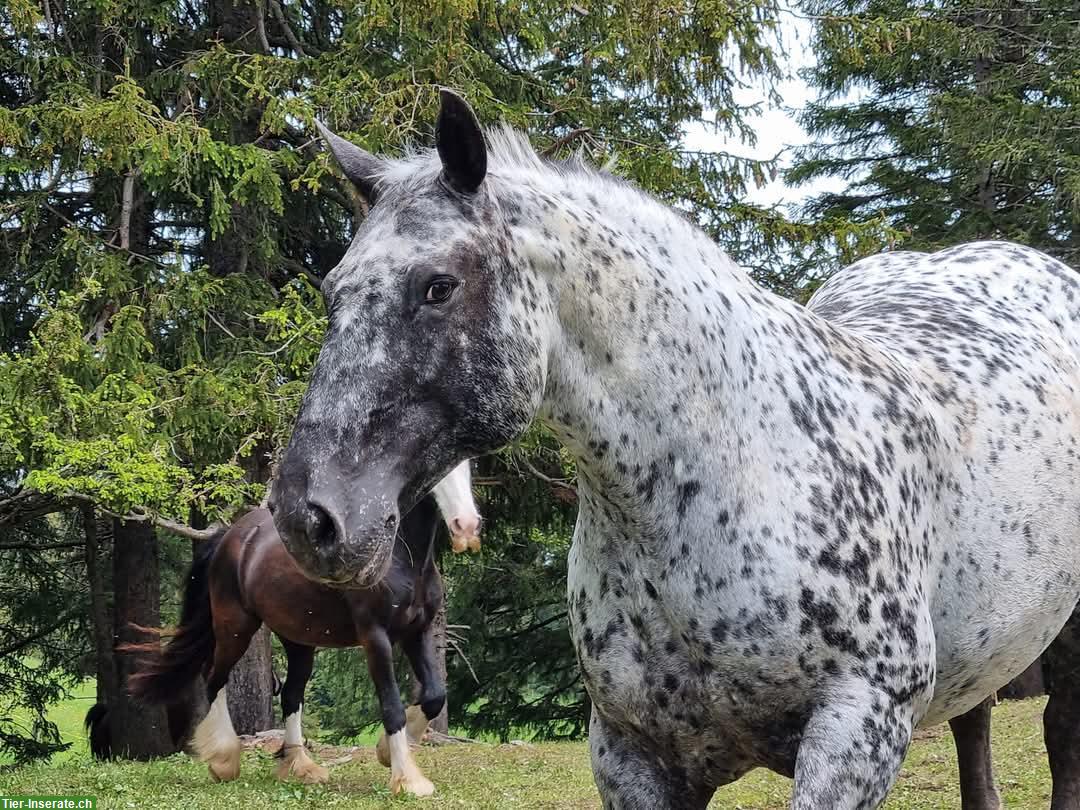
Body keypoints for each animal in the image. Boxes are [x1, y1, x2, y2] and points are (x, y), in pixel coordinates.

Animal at [123, 462, 481, 799]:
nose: (466, 525)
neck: (401, 559)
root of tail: (231, 535)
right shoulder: (375, 638)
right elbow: (392, 707)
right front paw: (406, 779)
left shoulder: (417, 632)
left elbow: (434, 695)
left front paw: (386, 754)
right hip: (235, 627)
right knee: (214, 678)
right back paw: (223, 761)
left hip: (298, 639)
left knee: (291, 695)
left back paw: (300, 766)